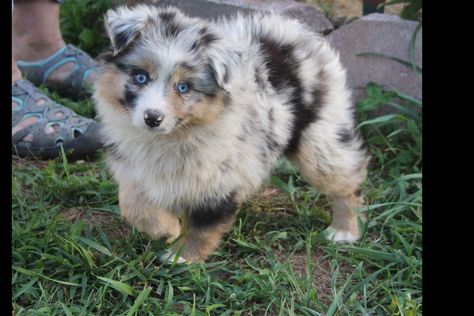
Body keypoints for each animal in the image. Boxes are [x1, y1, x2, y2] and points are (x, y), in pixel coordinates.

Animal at [93, 4, 370, 264]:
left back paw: (344, 230)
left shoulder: (218, 178)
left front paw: (181, 256)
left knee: (347, 179)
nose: (152, 118)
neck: (171, 137)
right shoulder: (135, 168)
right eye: (140, 77)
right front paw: (167, 229)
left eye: (183, 87)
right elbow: (131, 202)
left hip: (319, 139)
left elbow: (202, 226)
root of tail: (287, 33)